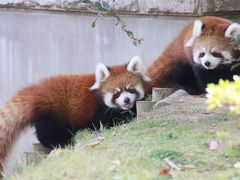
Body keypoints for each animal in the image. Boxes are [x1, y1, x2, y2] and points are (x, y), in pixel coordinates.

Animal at [0, 56, 150, 172]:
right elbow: (105, 123)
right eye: (117, 93)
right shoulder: (99, 111)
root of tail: (37, 91)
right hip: (53, 114)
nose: (126, 100)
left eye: (130, 90)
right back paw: (62, 143)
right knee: (48, 133)